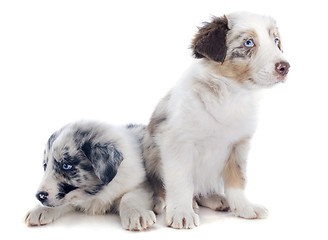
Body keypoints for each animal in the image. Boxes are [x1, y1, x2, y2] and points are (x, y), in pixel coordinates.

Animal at [25, 122, 156, 231]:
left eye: (66, 165)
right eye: (45, 166)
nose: (39, 196)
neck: (96, 194)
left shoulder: (142, 185)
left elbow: (128, 197)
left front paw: (136, 214)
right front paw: (40, 209)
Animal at [143, 12, 290, 230]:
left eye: (276, 40)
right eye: (248, 43)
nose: (285, 67)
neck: (229, 94)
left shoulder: (239, 145)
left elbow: (238, 180)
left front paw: (245, 207)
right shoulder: (177, 144)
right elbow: (181, 181)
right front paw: (182, 213)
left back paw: (214, 198)